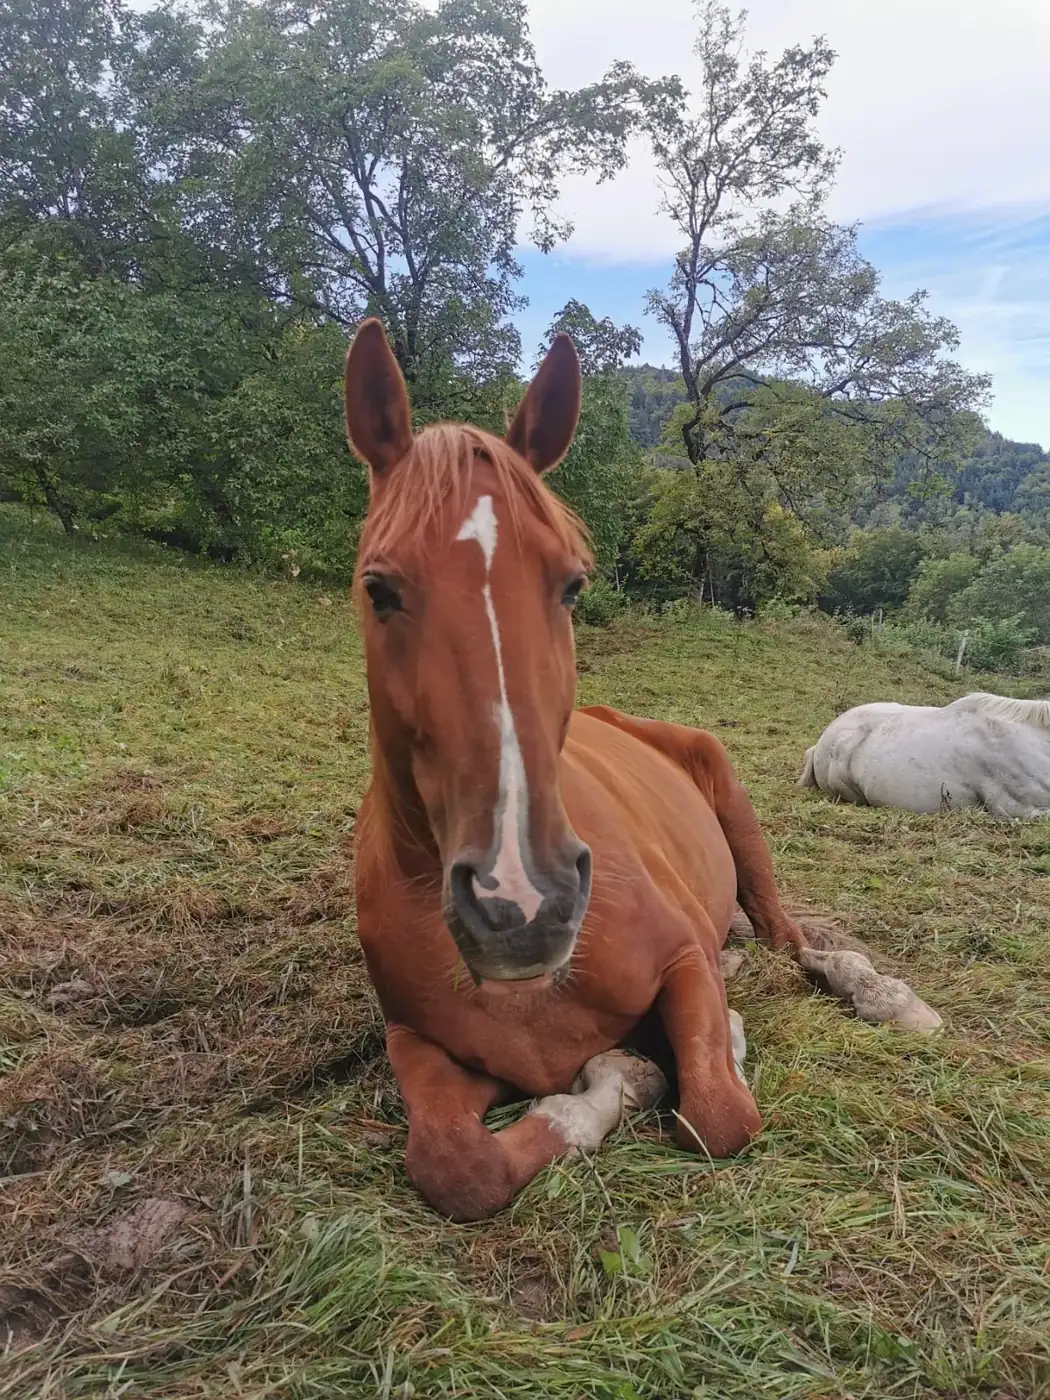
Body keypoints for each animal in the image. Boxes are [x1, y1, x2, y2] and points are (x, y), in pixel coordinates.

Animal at [344, 319, 938, 1222]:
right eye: (379, 589)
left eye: (572, 584)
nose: (522, 904)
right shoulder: (418, 1043)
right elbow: (455, 1165)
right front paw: (613, 1081)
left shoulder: (683, 959)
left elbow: (719, 1113)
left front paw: (655, 1065)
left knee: (791, 939)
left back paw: (878, 995)